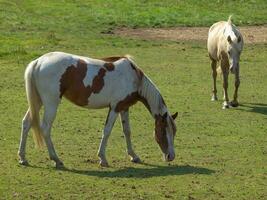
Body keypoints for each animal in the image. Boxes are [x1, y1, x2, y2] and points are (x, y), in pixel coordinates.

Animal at [17, 51, 179, 167]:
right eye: (163, 131)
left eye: (174, 131)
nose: (171, 156)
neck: (133, 78)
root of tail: (38, 62)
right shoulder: (115, 108)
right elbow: (107, 131)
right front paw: (103, 159)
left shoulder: (124, 108)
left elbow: (127, 131)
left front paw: (134, 156)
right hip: (51, 103)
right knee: (45, 128)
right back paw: (56, 159)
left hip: (37, 102)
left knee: (26, 123)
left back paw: (23, 158)